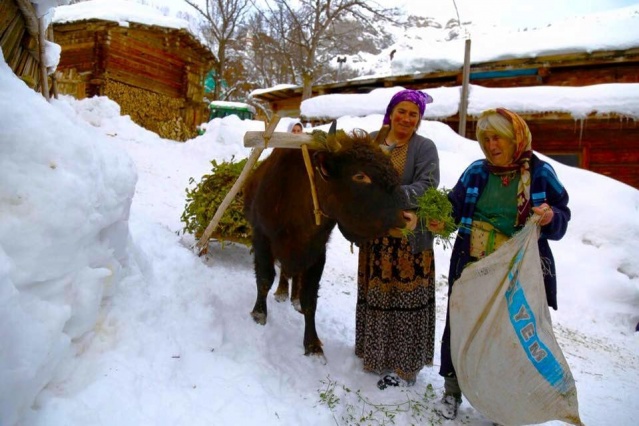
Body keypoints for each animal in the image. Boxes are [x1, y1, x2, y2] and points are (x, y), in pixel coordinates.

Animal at [242, 125, 408, 360]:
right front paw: (259, 314)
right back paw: (282, 293)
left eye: (393, 172)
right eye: (360, 175)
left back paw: (292, 297)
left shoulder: (316, 253)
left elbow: (310, 299)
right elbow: (265, 279)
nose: (407, 218)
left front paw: (312, 345)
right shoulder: (262, 238)